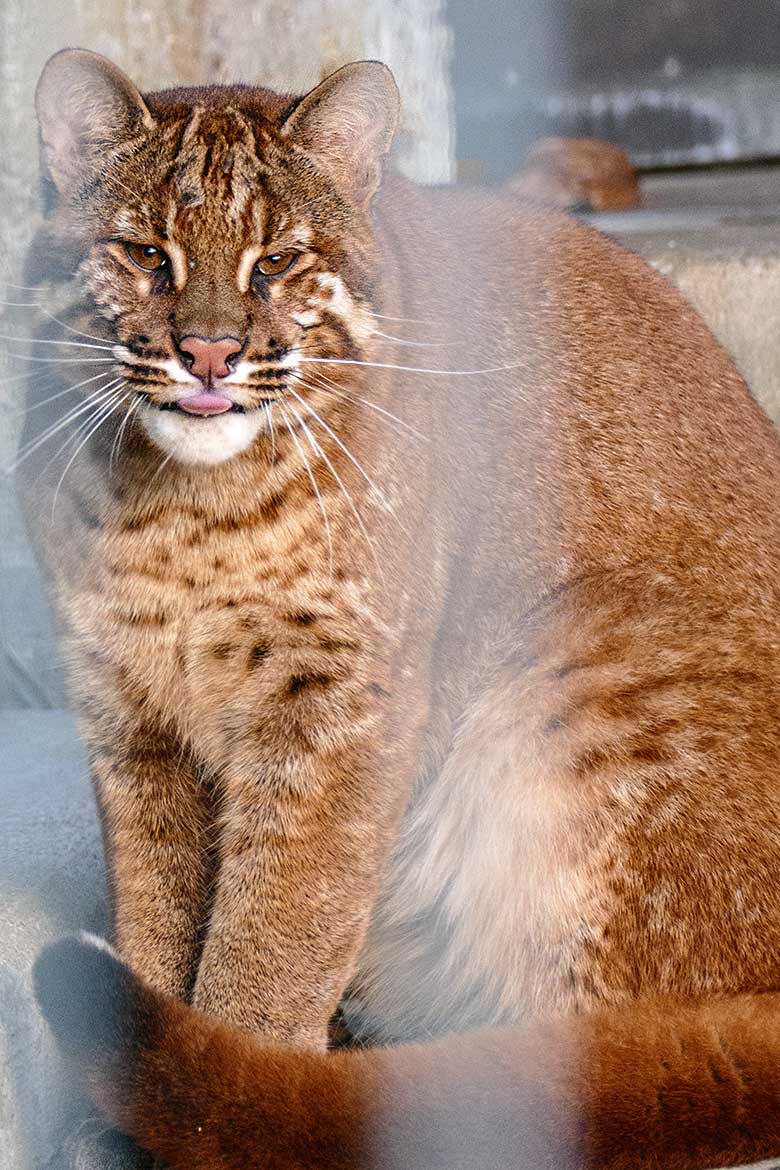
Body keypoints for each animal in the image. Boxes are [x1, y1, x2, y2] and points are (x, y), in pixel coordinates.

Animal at [16, 45, 780, 1170]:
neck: (178, 515)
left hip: (568, 664)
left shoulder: (337, 712)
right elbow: (156, 921)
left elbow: (277, 932)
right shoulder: (128, 716)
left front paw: (221, 1089)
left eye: (279, 262)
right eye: (146, 254)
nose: (210, 355)